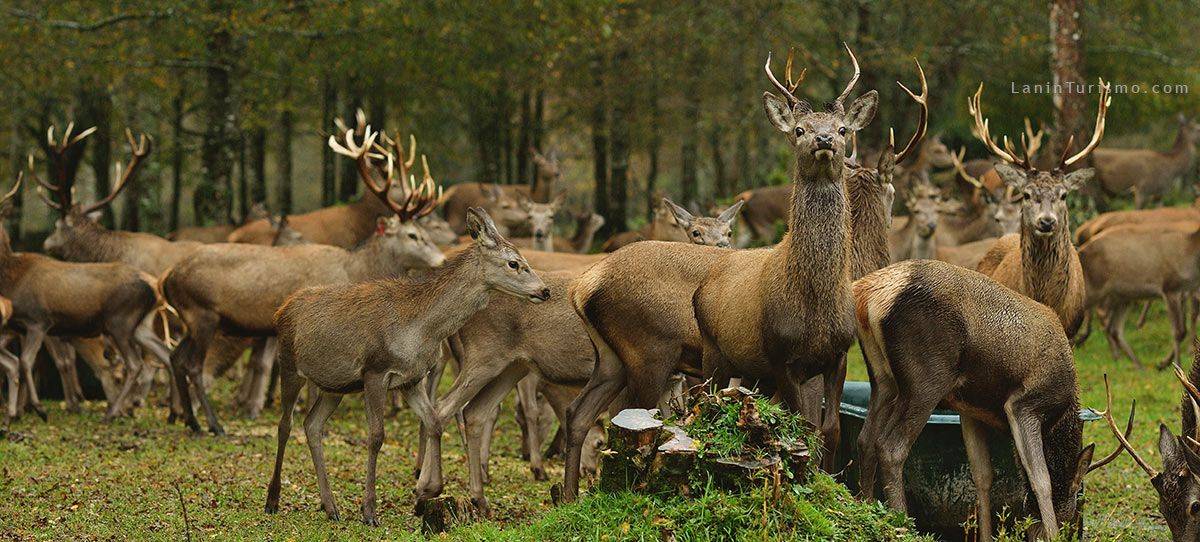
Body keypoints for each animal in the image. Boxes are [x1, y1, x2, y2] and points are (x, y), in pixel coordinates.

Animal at [157, 124, 444, 434]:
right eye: (413, 235)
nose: (442, 259)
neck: (355, 270)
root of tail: (167, 278)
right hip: (203, 315)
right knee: (193, 365)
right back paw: (213, 424)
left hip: (191, 320)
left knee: (175, 357)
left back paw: (190, 420)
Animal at [264, 206, 549, 525]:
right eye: (514, 263)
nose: (545, 290)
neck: (419, 329)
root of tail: (282, 309)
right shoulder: (375, 371)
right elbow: (376, 436)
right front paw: (369, 511)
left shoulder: (412, 380)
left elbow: (434, 421)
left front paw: (427, 490)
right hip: (289, 365)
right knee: (285, 425)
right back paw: (273, 499)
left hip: (333, 386)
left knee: (312, 425)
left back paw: (330, 506)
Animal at [854, 259, 1113, 542]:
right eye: (1078, 494)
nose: (1072, 530)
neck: (1058, 416)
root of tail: (867, 294)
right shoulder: (1024, 404)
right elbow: (1041, 479)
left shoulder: (969, 410)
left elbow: (982, 476)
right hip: (926, 380)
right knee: (891, 447)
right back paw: (902, 523)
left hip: (883, 379)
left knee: (866, 439)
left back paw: (866, 506)